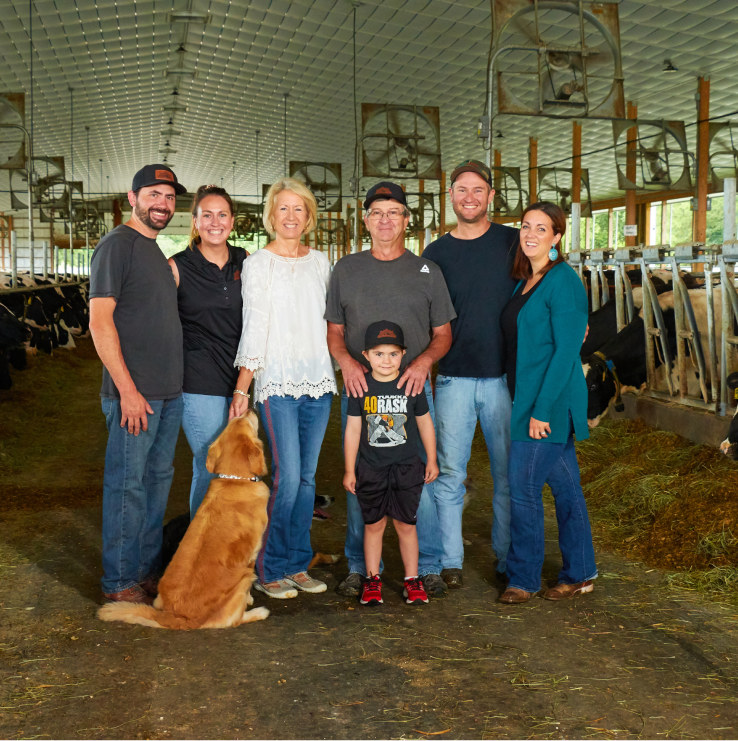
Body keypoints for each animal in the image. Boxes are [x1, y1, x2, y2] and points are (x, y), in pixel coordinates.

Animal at [98, 410, 270, 632]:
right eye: (247, 421)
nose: (248, 410)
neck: (234, 480)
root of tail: (175, 616)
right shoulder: (251, 556)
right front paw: (250, 600)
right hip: (243, 578)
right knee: (234, 619)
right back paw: (258, 612)